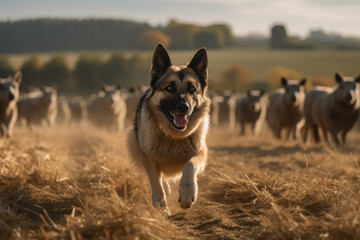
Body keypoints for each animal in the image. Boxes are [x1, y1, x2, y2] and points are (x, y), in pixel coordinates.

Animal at [127, 43, 210, 214]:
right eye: (169, 88)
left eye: (192, 89)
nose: (183, 107)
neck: (174, 137)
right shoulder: (149, 158)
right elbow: (157, 184)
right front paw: (161, 209)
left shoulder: (201, 152)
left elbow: (189, 166)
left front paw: (187, 194)